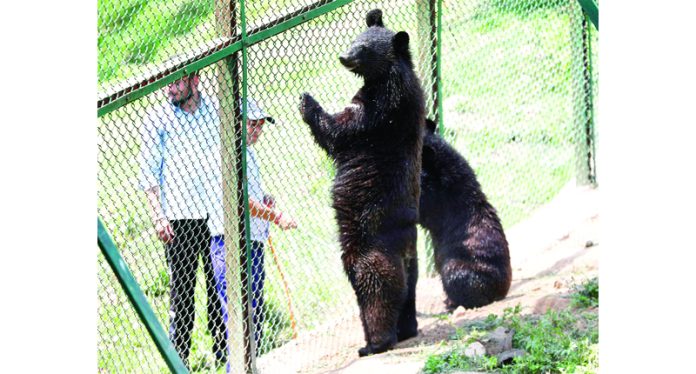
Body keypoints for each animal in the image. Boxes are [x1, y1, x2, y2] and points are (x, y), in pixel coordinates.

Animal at [298, 8, 424, 356]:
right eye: (355, 39)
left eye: (364, 49)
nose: (343, 56)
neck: (386, 76)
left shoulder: (381, 108)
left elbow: (342, 130)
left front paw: (307, 101)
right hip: (410, 259)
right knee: (408, 289)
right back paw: (406, 329)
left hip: (368, 246)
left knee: (376, 287)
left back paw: (374, 343)